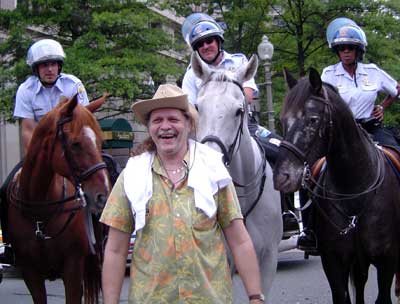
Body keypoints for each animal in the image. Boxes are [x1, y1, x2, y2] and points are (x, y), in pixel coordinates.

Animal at [5, 94, 111, 302]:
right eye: (76, 144)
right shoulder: (30, 273)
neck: (40, 211)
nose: (103, 195)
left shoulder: (73, 268)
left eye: (100, 142)